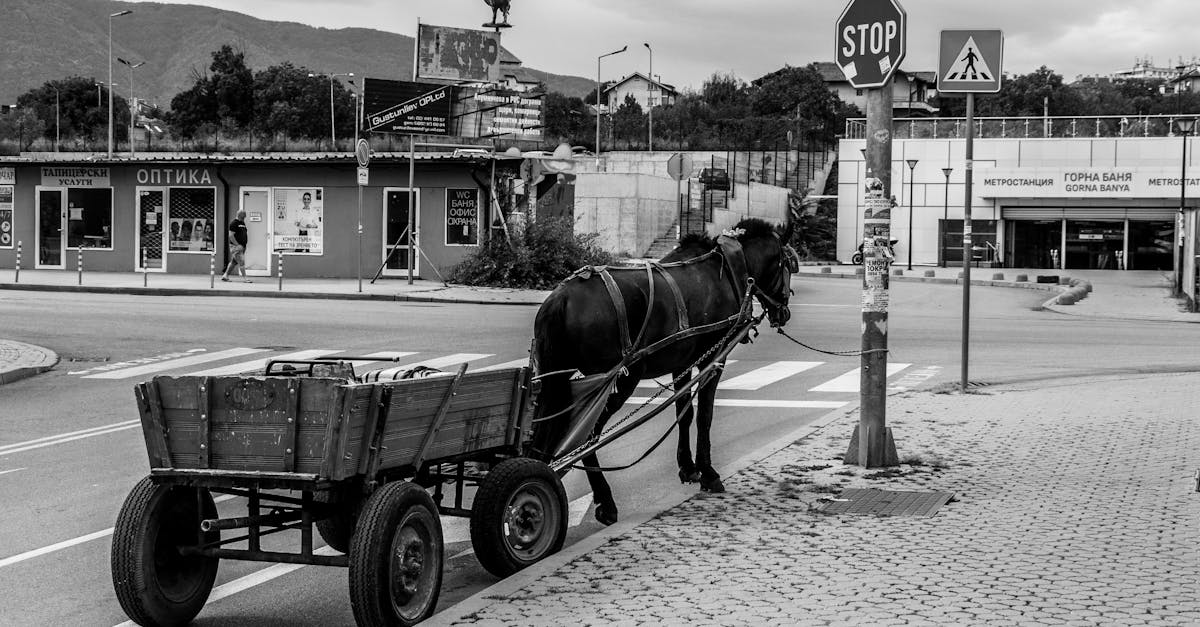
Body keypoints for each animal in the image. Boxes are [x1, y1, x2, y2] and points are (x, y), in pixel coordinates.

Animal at [528, 215, 792, 521]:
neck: (727, 272)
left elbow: (685, 412)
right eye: (787, 264)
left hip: (555, 378)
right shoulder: (713, 358)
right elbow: (705, 415)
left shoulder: (683, 364)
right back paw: (605, 501)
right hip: (617, 381)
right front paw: (708, 473)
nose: (784, 312)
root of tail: (561, 298)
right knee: (589, 437)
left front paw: (688, 467)